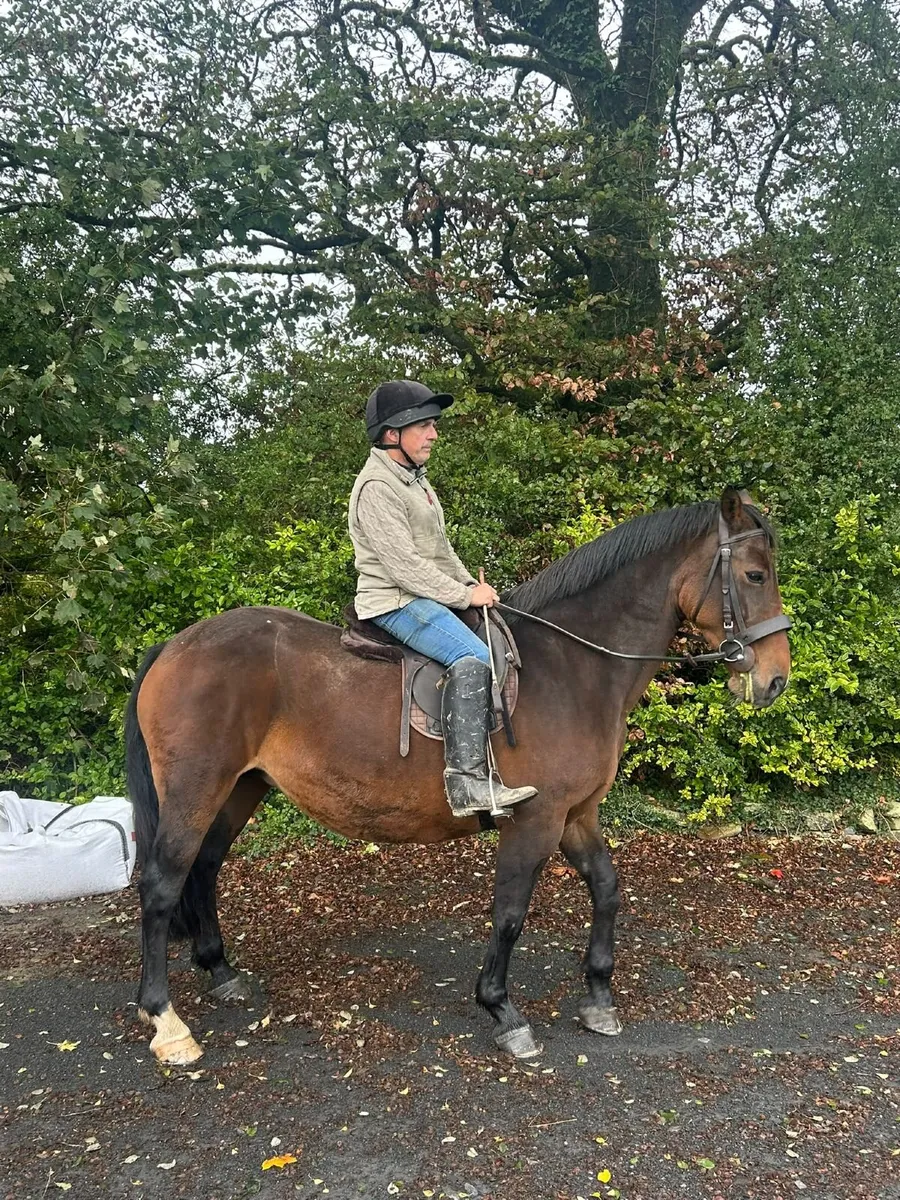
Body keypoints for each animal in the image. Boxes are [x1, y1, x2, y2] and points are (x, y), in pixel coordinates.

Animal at [126, 487, 791, 1066]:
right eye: (756, 576)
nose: (775, 680)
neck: (575, 668)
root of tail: (175, 646)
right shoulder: (535, 819)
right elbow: (510, 914)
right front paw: (503, 1011)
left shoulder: (576, 814)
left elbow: (606, 887)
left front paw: (599, 996)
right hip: (196, 789)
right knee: (161, 883)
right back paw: (166, 1021)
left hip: (239, 788)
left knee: (204, 867)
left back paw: (220, 972)